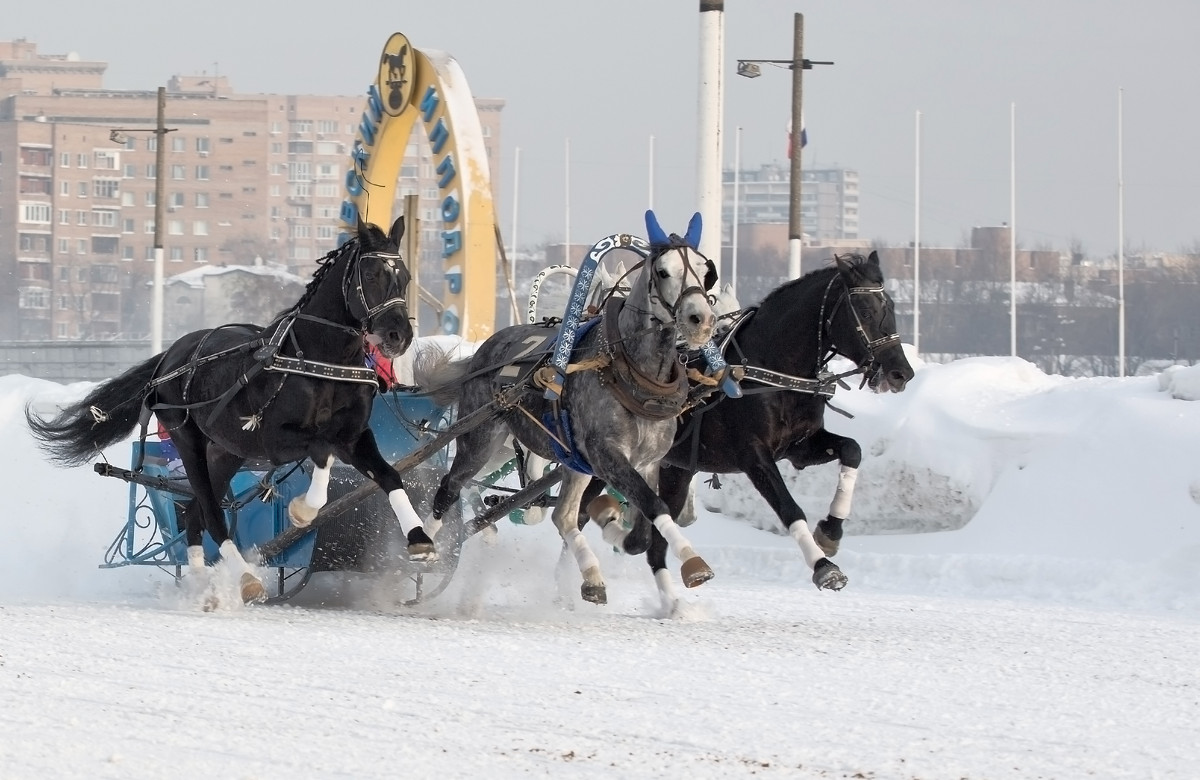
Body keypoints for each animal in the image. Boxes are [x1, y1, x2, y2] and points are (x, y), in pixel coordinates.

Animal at [27, 217, 432, 602]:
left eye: (405, 277)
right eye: (371, 274)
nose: (399, 336)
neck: (320, 360)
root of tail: (171, 355)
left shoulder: (354, 436)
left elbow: (389, 476)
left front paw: (420, 538)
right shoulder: (276, 440)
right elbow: (321, 453)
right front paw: (303, 510)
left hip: (225, 451)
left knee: (194, 515)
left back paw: (201, 584)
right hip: (188, 440)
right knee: (210, 512)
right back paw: (245, 579)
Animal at [585, 252, 912, 609]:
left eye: (892, 306)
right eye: (864, 311)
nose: (901, 372)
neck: (769, 372)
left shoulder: (800, 447)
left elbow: (852, 450)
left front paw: (830, 531)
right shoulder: (753, 456)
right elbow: (788, 507)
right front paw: (823, 566)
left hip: (676, 469)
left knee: (652, 544)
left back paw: (673, 603)